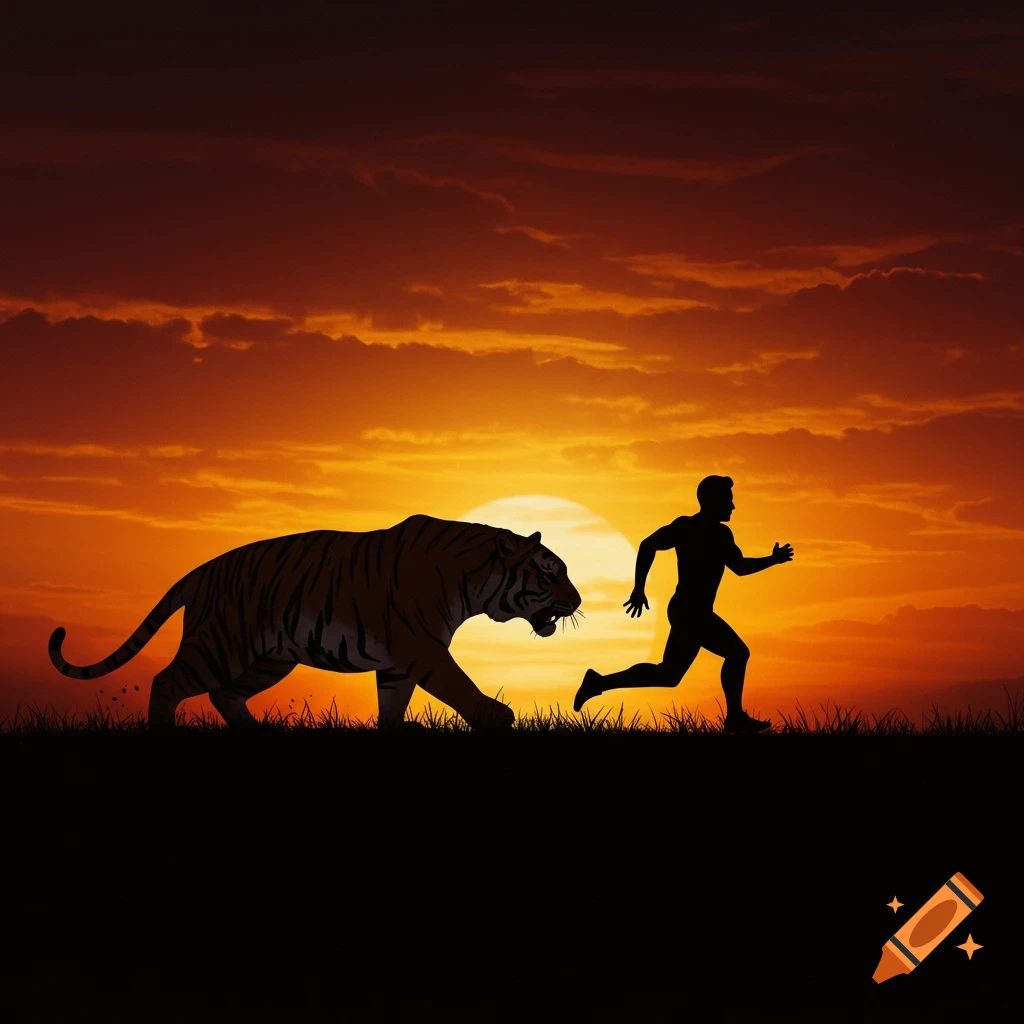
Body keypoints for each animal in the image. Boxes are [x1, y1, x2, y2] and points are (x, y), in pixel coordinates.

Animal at [48, 514, 582, 731]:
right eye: (548, 572)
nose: (578, 600)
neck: (471, 579)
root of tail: (203, 569)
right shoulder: (422, 647)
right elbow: (458, 683)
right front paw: (497, 717)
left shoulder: (399, 663)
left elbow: (393, 705)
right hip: (222, 644)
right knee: (167, 681)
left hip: (270, 658)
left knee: (224, 694)